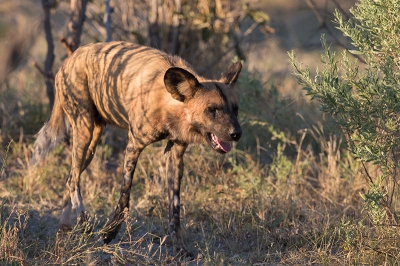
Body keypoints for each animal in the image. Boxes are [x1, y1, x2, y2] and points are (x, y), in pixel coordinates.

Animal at [31, 41, 242, 254]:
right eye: (212, 110)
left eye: (235, 109)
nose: (237, 134)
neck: (167, 104)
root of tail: (70, 58)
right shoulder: (134, 143)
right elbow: (125, 194)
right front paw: (110, 233)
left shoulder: (176, 153)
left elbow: (174, 209)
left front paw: (179, 248)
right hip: (84, 131)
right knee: (74, 179)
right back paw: (83, 223)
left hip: (91, 144)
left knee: (70, 178)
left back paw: (65, 227)